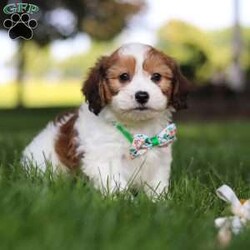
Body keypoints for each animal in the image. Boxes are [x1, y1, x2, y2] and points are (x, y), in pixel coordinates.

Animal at [22, 43, 188, 199]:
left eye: (156, 77)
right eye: (123, 77)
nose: (141, 95)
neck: (137, 128)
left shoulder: (160, 158)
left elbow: (157, 184)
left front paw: (159, 201)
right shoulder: (105, 158)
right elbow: (117, 185)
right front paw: (128, 202)